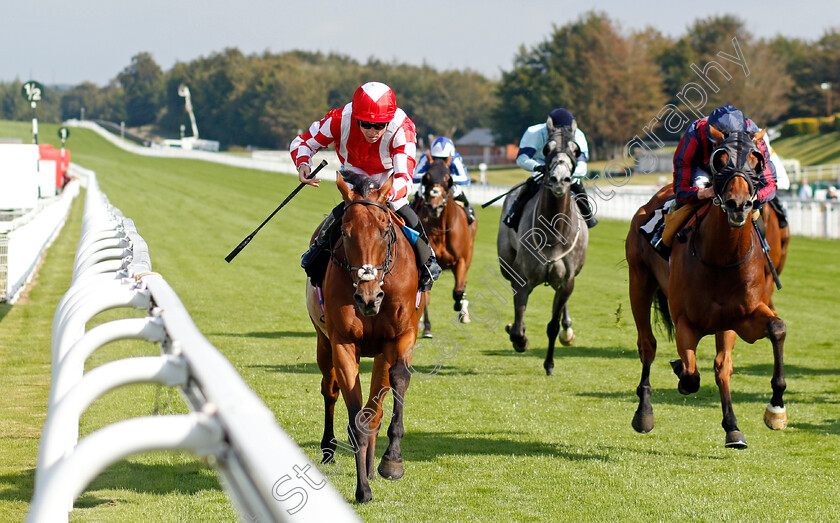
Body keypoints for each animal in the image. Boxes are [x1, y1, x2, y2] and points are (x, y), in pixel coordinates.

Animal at [302, 170, 424, 502]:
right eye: (345, 233)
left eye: (384, 230)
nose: (368, 297)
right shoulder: (343, 342)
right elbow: (355, 413)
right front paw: (363, 488)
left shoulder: (401, 337)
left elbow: (397, 382)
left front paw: (391, 462)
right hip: (323, 342)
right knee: (330, 390)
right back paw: (329, 449)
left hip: (381, 353)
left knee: (376, 408)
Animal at [416, 162, 476, 338]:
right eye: (426, 177)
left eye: (447, 178)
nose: (434, 207)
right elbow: (426, 296)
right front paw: (427, 327)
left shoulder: (461, 260)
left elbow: (458, 290)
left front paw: (460, 306)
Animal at [498, 117, 592, 374]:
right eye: (547, 149)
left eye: (576, 150)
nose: (559, 179)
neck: (553, 234)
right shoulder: (523, 279)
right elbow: (518, 323)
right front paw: (519, 338)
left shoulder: (566, 281)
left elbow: (552, 324)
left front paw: (549, 363)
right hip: (505, 262)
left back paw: (567, 329)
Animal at [628, 128, 792, 450]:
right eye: (721, 159)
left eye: (756, 159)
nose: (738, 204)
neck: (720, 258)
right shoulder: (685, 323)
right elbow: (691, 376)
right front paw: (679, 372)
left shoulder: (743, 317)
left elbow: (776, 328)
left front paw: (776, 409)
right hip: (638, 281)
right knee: (647, 345)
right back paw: (644, 413)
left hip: (724, 323)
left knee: (721, 366)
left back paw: (733, 428)